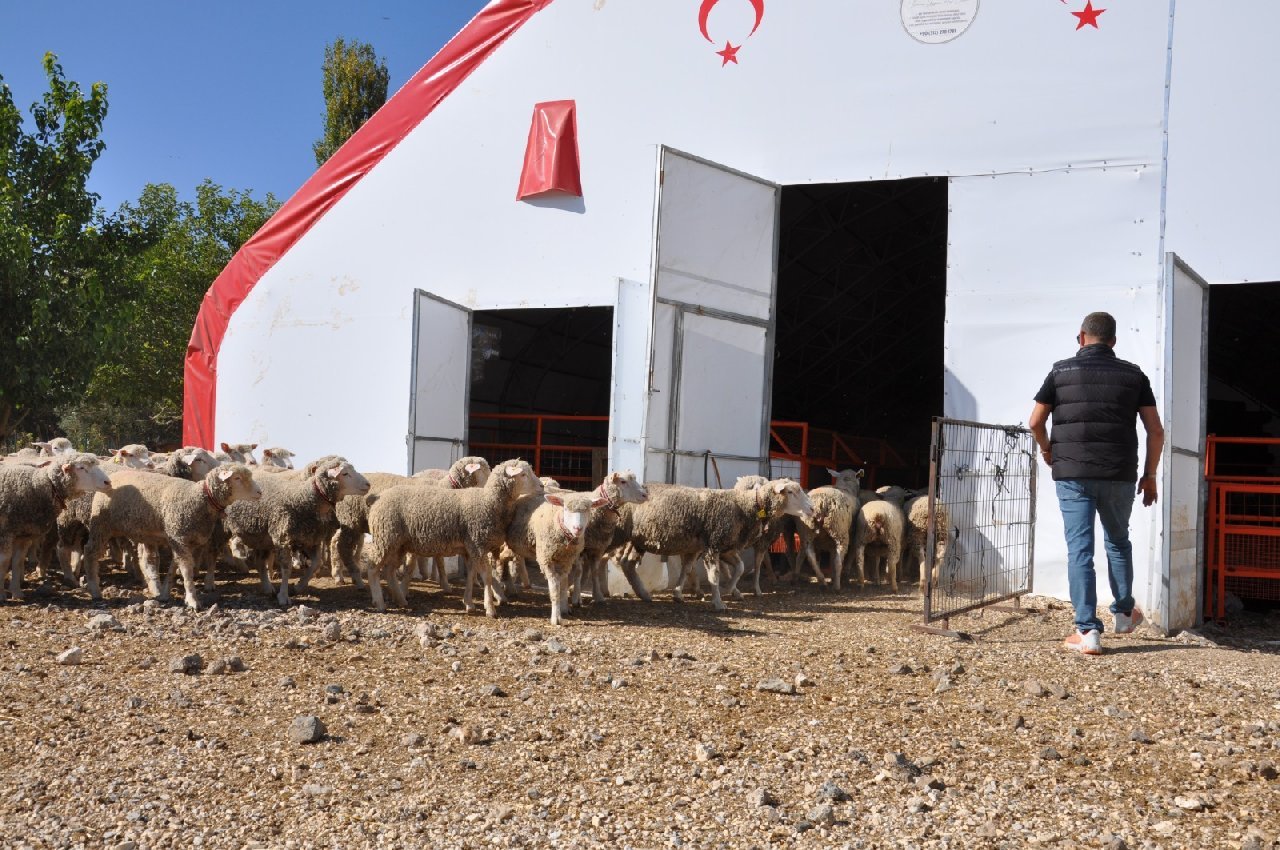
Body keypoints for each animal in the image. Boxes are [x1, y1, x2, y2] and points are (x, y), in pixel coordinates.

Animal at [0, 455, 112, 601]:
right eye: (81, 468)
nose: (108, 482)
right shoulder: (5, 533)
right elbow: (4, 561)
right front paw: (1, 594)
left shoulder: (23, 535)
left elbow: (17, 561)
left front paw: (16, 592)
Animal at [80, 460, 262, 606]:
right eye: (237, 478)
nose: (260, 492)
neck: (200, 499)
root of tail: (112, 476)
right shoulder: (179, 538)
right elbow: (187, 570)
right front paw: (192, 600)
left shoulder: (180, 539)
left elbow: (174, 568)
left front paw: (165, 593)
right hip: (101, 525)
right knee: (90, 552)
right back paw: (94, 589)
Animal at [220, 460, 368, 606]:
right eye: (345, 473)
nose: (368, 484)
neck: (303, 498)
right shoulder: (282, 537)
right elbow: (286, 568)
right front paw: (284, 596)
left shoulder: (309, 539)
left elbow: (316, 563)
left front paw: (298, 587)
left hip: (262, 538)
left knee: (260, 562)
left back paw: (267, 588)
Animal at [363, 460, 542, 614]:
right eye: (523, 474)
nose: (541, 485)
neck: (489, 502)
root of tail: (378, 498)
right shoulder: (478, 544)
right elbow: (487, 577)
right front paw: (490, 608)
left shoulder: (471, 548)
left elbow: (471, 574)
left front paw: (469, 603)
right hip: (385, 538)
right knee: (373, 568)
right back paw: (380, 603)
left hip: (398, 543)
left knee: (389, 570)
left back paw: (400, 600)